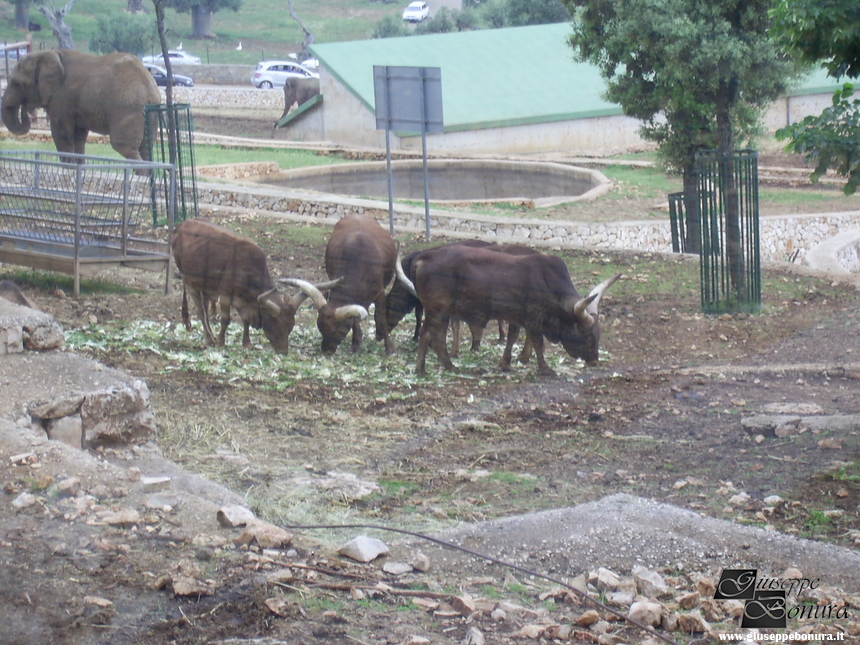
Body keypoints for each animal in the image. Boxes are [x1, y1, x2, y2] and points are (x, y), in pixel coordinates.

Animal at [1, 49, 161, 162]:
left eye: (17, 83)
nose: (25, 106)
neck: (46, 53)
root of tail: (149, 85)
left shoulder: (61, 97)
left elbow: (62, 134)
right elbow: (78, 136)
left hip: (126, 108)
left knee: (125, 148)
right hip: (150, 111)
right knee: (146, 148)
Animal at [171, 219, 340, 354]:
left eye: (290, 327)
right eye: (273, 327)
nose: (283, 352)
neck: (247, 267)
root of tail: (182, 224)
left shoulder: (245, 301)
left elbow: (245, 321)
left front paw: (247, 343)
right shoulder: (225, 295)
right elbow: (226, 319)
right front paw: (220, 342)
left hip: (203, 285)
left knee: (205, 307)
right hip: (188, 280)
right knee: (200, 310)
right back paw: (209, 339)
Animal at [282, 215, 396, 358]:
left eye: (339, 331)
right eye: (320, 328)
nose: (326, 351)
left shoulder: (380, 293)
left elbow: (381, 319)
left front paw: (389, 348)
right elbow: (355, 321)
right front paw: (356, 345)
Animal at [394, 247, 620, 378]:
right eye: (588, 336)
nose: (594, 361)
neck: (549, 284)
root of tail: (423, 257)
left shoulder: (517, 318)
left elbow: (512, 337)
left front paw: (506, 362)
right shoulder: (534, 319)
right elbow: (538, 344)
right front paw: (545, 369)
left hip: (441, 313)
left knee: (437, 337)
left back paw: (448, 365)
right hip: (437, 310)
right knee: (427, 335)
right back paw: (424, 369)